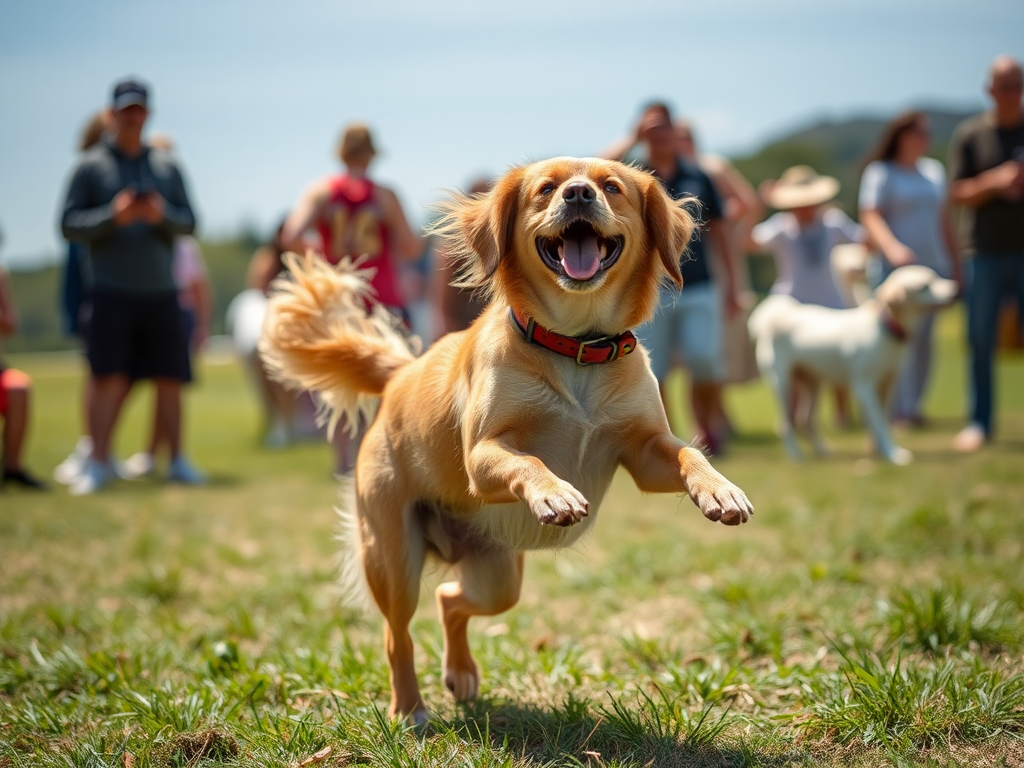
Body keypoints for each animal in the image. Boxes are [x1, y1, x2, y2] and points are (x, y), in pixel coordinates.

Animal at [256, 157, 753, 729]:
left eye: (612, 187)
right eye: (545, 188)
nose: (578, 194)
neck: (576, 346)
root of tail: (402, 373)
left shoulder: (646, 450)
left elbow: (689, 451)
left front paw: (720, 490)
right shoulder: (484, 455)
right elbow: (529, 461)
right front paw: (555, 493)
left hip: (496, 579)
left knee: (450, 599)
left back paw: (461, 673)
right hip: (393, 559)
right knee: (396, 635)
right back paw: (410, 709)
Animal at [749, 268, 954, 466]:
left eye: (936, 276)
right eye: (925, 286)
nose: (956, 289)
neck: (884, 327)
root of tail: (775, 317)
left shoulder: (887, 384)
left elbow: (881, 420)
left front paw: (878, 452)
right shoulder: (864, 387)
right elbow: (880, 422)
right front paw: (893, 454)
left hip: (813, 382)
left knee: (804, 420)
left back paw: (822, 450)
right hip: (783, 383)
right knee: (785, 422)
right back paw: (796, 455)